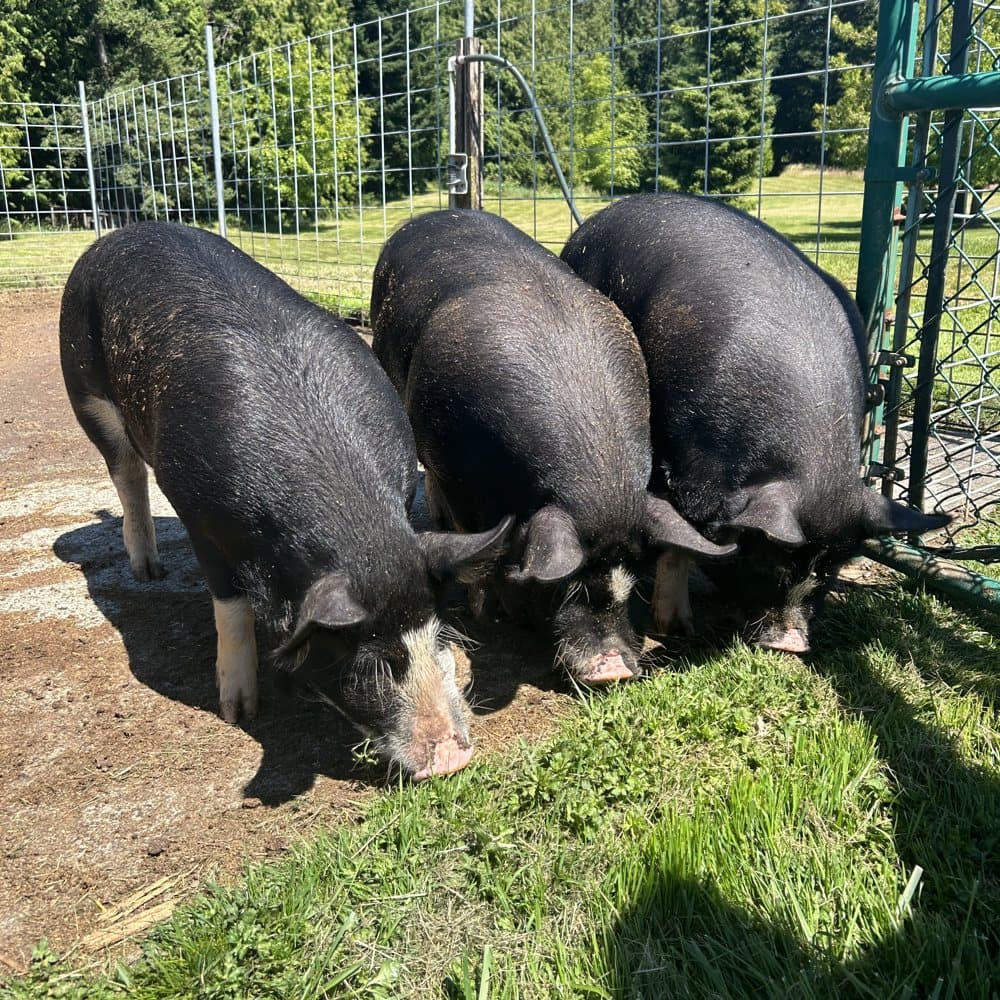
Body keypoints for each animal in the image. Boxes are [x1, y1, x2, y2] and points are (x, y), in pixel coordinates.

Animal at [59, 221, 511, 780]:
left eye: (439, 635)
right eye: (371, 662)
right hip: (84, 389)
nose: (451, 759)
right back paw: (148, 572)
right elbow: (229, 607)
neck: (359, 532)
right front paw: (239, 711)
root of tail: (117, 235)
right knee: (125, 476)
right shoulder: (200, 519)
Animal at [369, 209, 734, 684]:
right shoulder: (456, 478)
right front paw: (487, 614)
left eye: (632, 576)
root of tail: (435, 214)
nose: (613, 670)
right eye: (565, 582)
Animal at [561, 193, 950, 652]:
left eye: (829, 570)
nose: (790, 644)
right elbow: (680, 537)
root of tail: (603, 214)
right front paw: (678, 629)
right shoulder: (681, 457)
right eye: (768, 563)